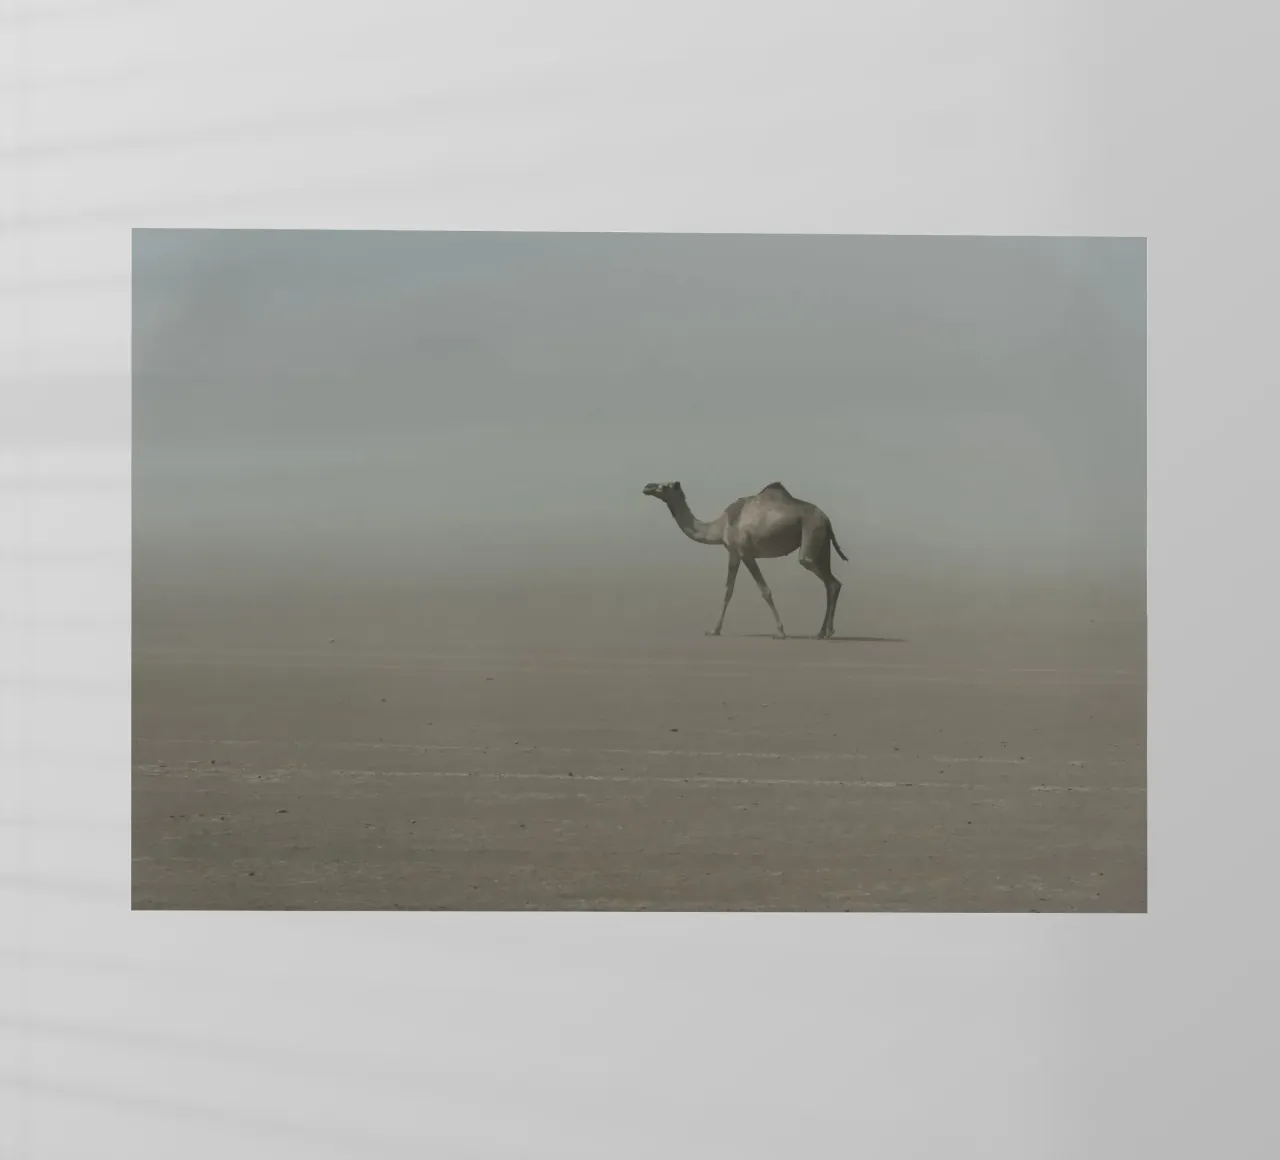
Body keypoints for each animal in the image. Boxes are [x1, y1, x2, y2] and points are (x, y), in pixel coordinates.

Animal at [642, 480, 849, 639]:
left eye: (665, 486)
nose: (647, 487)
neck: (719, 526)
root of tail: (826, 519)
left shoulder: (744, 552)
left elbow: (764, 591)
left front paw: (780, 632)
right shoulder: (733, 553)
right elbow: (728, 591)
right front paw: (714, 630)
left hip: (811, 534)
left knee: (826, 578)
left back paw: (827, 632)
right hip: (822, 543)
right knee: (832, 583)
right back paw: (821, 632)